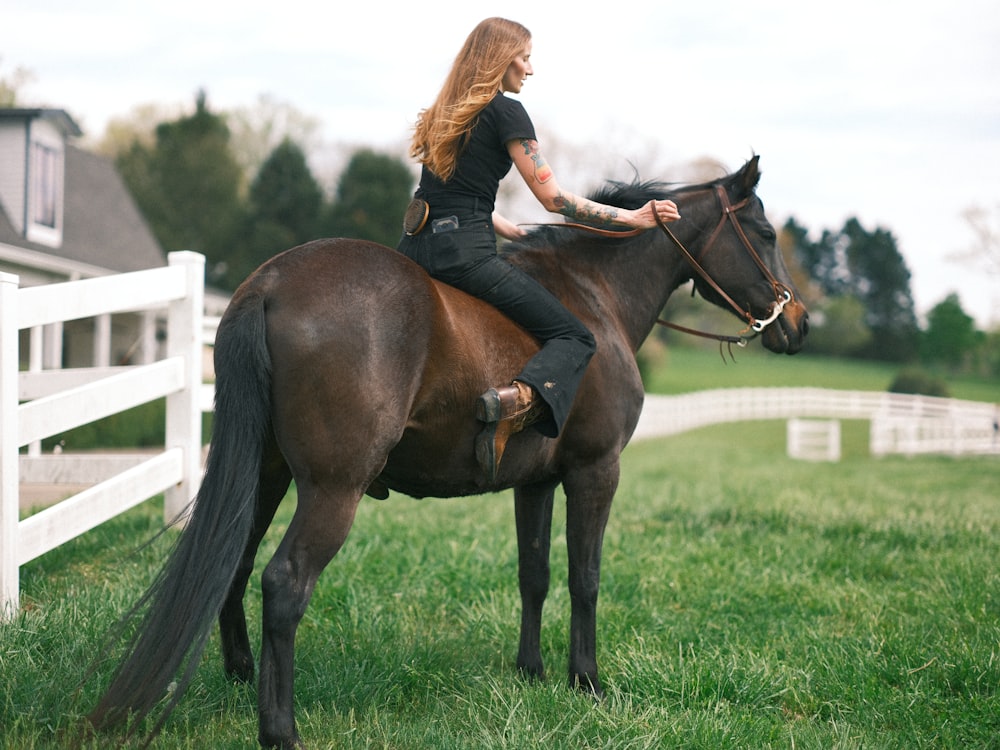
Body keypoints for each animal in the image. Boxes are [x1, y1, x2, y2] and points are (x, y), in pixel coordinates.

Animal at [86, 156, 804, 748]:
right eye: (766, 233)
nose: (796, 324)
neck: (593, 297)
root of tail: (270, 283)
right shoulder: (595, 472)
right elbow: (586, 577)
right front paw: (587, 681)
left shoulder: (535, 483)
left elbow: (535, 573)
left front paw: (531, 671)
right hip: (332, 487)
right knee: (285, 582)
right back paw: (279, 729)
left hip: (266, 475)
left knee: (234, 563)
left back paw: (242, 679)